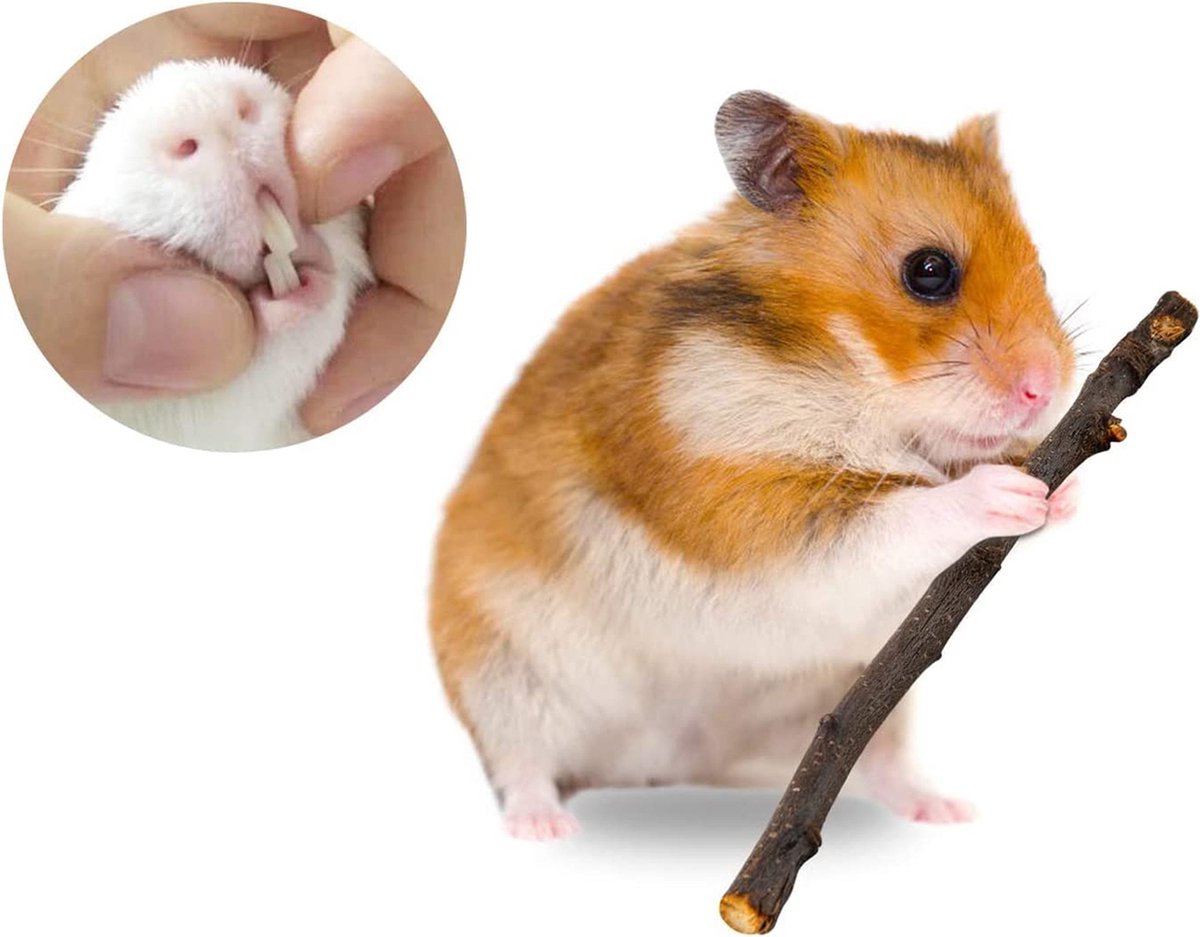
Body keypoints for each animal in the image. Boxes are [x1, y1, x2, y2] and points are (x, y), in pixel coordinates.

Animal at [430, 91, 1078, 840]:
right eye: (929, 271)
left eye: (1043, 269)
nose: (1045, 390)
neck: (847, 379)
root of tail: (658, 762)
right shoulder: (748, 513)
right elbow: (898, 514)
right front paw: (1007, 491)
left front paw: (1064, 493)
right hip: (503, 678)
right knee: (522, 765)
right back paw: (545, 827)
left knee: (882, 765)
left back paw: (943, 809)